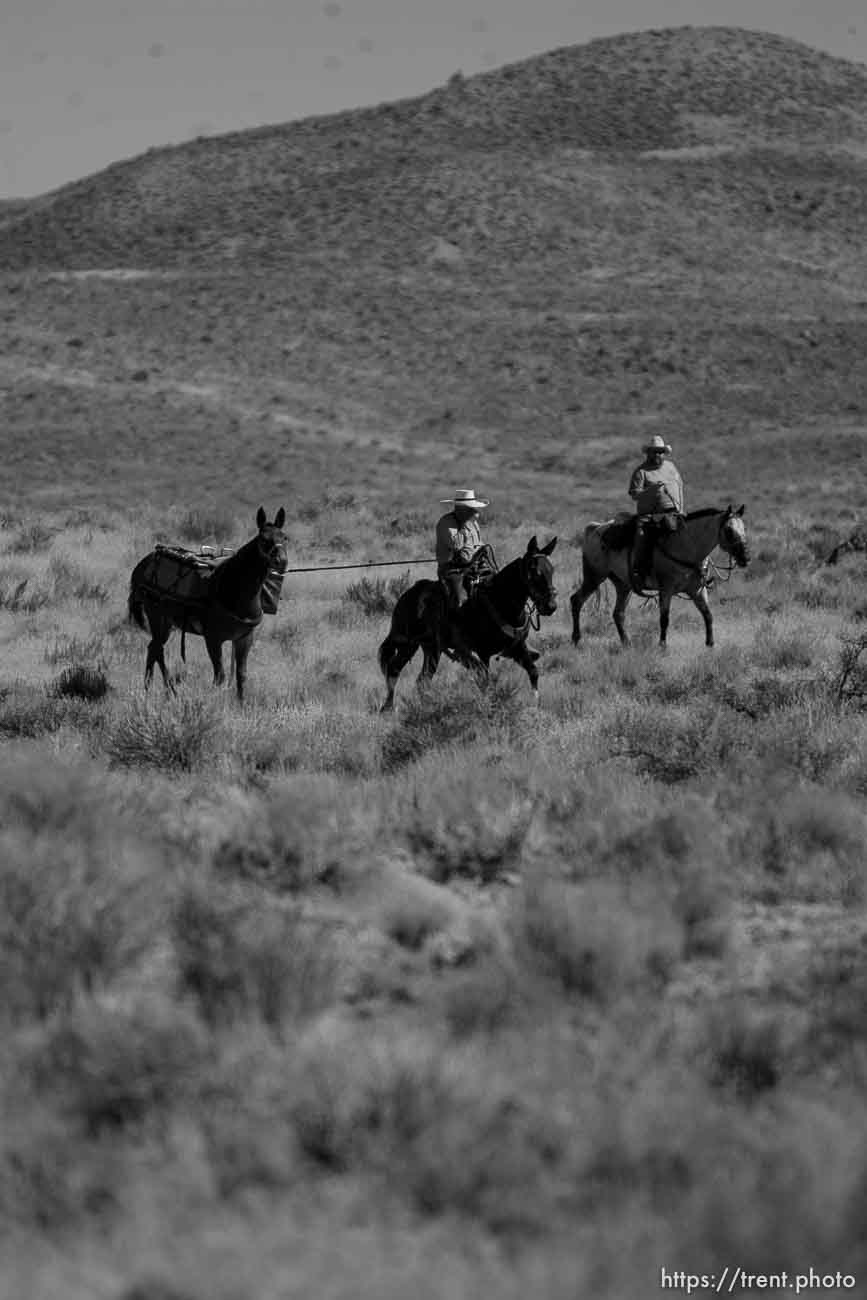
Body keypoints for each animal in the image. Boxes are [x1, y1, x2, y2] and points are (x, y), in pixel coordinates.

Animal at [128, 504, 289, 702]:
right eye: (264, 539)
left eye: (285, 537)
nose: (281, 562)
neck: (233, 589)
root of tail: (142, 565)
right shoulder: (213, 639)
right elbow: (219, 677)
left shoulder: (244, 639)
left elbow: (241, 675)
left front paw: (241, 704)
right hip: (157, 617)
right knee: (157, 650)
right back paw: (170, 690)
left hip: (165, 622)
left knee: (153, 649)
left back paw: (149, 689)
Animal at [376, 538, 556, 722]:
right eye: (534, 572)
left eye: (551, 570)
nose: (550, 606)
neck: (499, 600)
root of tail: (407, 594)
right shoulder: (483, 653)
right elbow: (486, 683)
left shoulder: (517, 648)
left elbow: (533, 672)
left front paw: (535, 706)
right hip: (408, 644)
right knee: (394, 669)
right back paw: (387, 708)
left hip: (432, 649)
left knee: (423, 680)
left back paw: (423, 707)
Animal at [571, 506, 748, 650]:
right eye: (729, 530)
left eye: (744, 528)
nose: (746, 557)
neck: (686, 547)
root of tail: (594, 528)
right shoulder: (666, 590)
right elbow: (664, 618)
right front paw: (662, 645)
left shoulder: (697, 590)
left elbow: (708, 615)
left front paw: (710, 644)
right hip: (594, 577)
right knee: (577, 600)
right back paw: (576, 639)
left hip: (623, 585)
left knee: (618, 613)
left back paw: (627, 643)